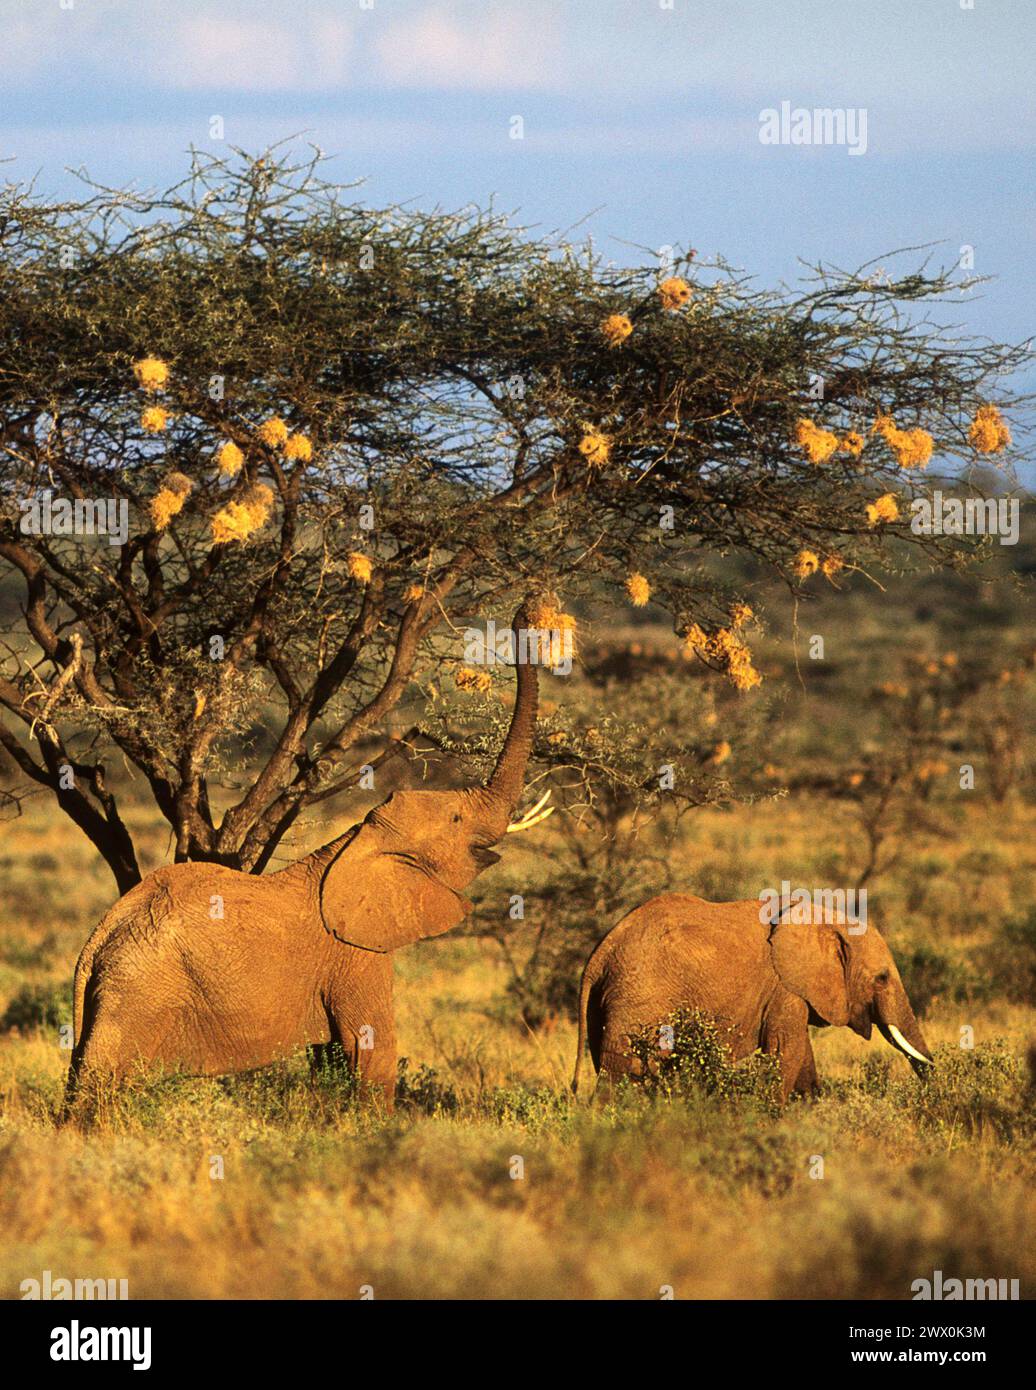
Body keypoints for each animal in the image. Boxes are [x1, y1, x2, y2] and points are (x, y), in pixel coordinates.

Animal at [63, 603, 550, 1112]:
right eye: (456, 819)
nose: (526, 612)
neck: (355, 840)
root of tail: (95, 944)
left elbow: (334, 1056)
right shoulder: (355, 953)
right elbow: (370, 1048)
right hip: (138, 990)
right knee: (99, 1079)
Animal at [570, 895, 934, 1100]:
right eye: (882, 978)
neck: (824, 918)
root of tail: (599, 955)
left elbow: (801, 1054)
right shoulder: (784, 987)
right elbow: (786, 1051)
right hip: (638, 999)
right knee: (622, 1073)